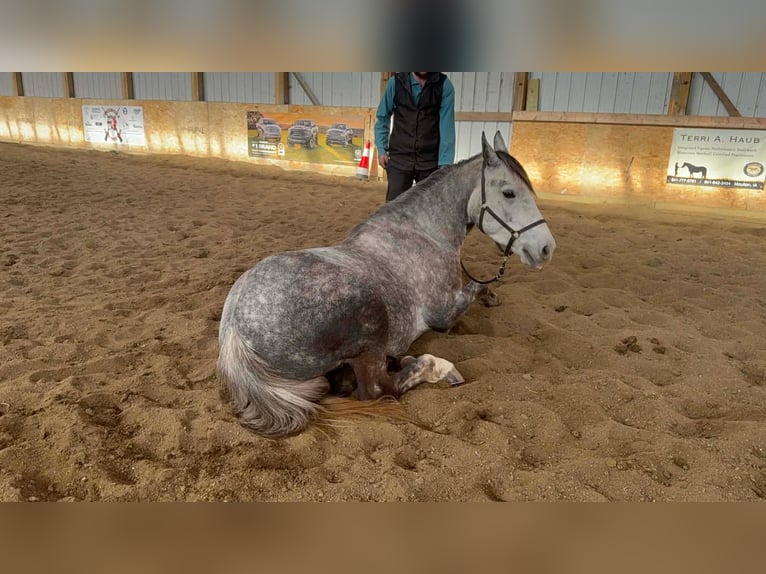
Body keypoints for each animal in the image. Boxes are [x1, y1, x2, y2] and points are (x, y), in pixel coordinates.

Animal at [217, 131, 556, 437]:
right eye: (509, 193)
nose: (546, 248)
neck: (424, 233)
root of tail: (236, 331)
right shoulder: (444, 312)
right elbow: (476, 288)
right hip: (371, 327)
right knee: (378, 388)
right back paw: (438, 368)